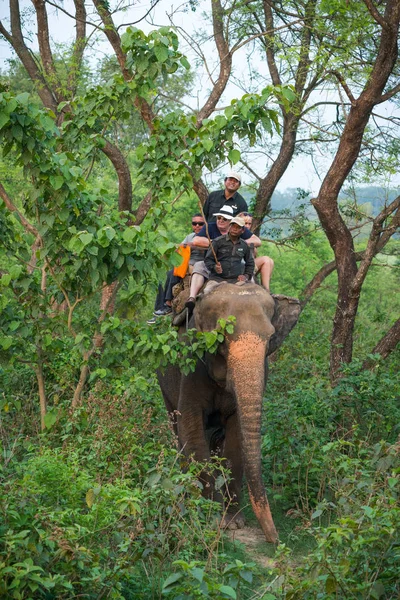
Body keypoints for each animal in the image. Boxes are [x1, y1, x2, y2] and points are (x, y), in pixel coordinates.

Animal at [157, 282, 300, 544]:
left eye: (270, 338)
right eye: (221, 339)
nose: (276, 540)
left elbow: (235, 442)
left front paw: (233, 523)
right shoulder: (190, 365)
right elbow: (191, 428)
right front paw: (213, 520)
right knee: (178, 430)